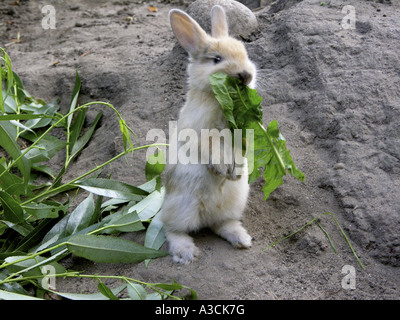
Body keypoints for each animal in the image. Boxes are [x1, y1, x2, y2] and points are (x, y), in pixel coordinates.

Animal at [159, 5, 256, 264]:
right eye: (217, 59)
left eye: (245, 53)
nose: (245, 75)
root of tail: (205, 217)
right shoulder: (199, 133)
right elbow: (210, 145)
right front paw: (223, 168)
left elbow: (239, 149)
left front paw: (235, 171)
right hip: (182, 208)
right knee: (172, 230)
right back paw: (186, 253)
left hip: (234, 203)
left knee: (221, 225)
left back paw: (243, 240)